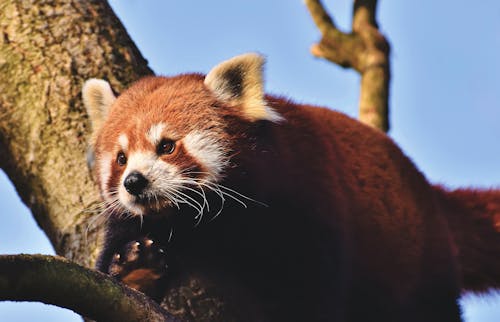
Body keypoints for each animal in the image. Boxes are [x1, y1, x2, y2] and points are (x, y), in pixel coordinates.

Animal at [82, 54, 500, 320]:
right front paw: (136, 268)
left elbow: (310, 292)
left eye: (166, 146)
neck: (210, 225)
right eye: (121, 159)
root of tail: (425, 190)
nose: (134, 182)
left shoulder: (306, 205)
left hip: (416, 261)